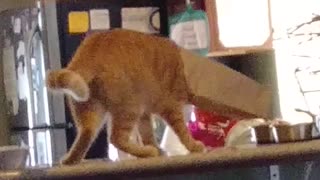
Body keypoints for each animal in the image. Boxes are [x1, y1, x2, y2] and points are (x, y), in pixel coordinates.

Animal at [45, 28, 205, 165]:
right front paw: (194, 146)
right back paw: (147, 152)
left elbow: (147, 134)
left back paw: (70, 160)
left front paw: (158, 149)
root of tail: (90, 50)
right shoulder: (171, 108)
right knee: (116, 138)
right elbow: (182, 132)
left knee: (85, 135)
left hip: (92, 113)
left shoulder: (145, 114)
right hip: (130, 109)